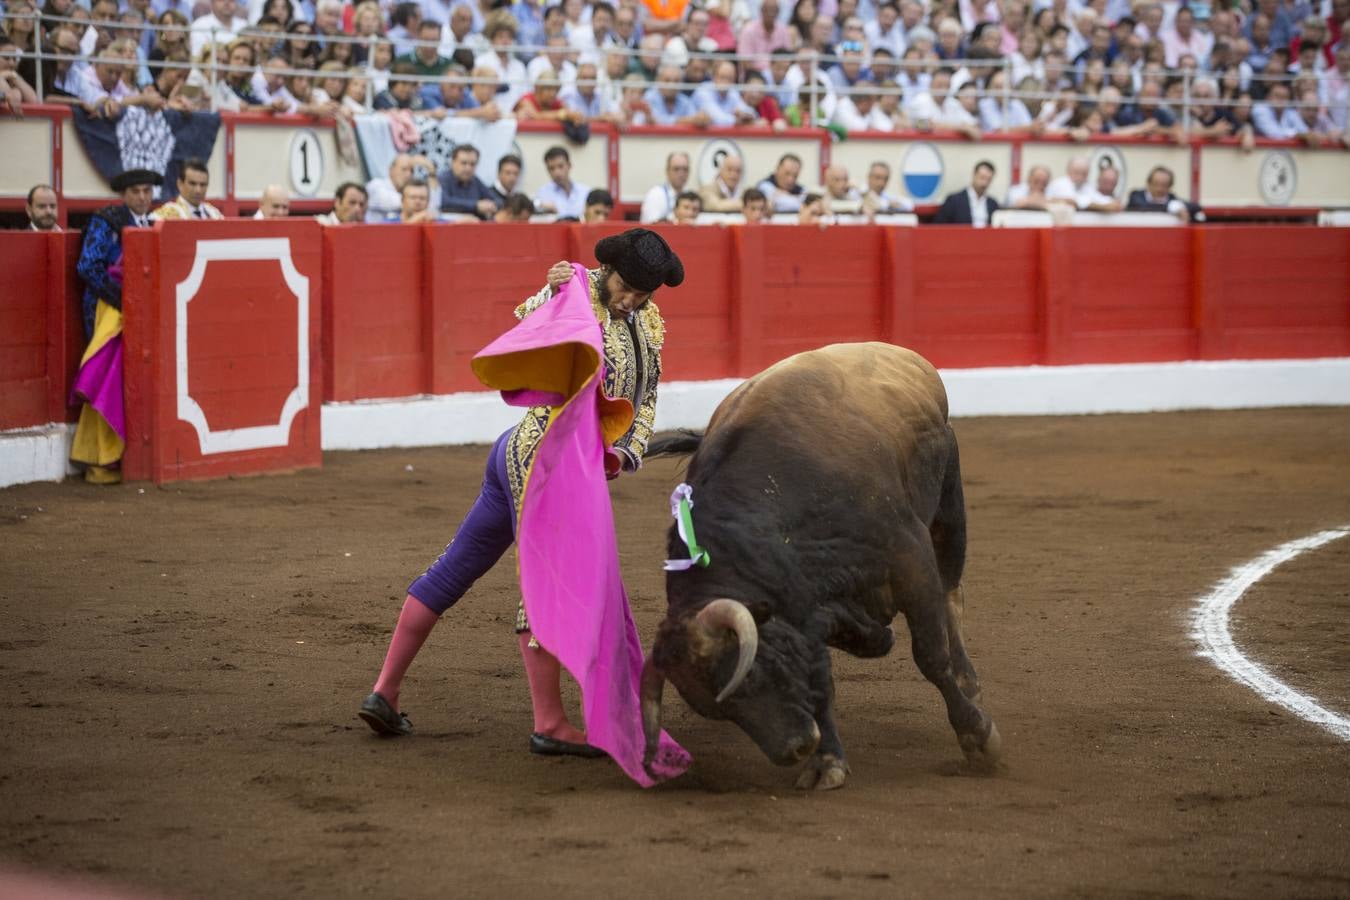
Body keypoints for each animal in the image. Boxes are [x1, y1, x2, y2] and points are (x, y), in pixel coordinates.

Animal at [637, 342, 999, 788]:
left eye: (748, 674)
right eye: (717, 710)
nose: (793, 749)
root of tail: (904, 355)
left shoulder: (909, 556)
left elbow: (931, 656)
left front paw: (977, 737)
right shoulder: (803, 609)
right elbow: (819, 678)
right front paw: (828, 762)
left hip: (949, 503)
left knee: (951, 594)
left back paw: (969, 681)